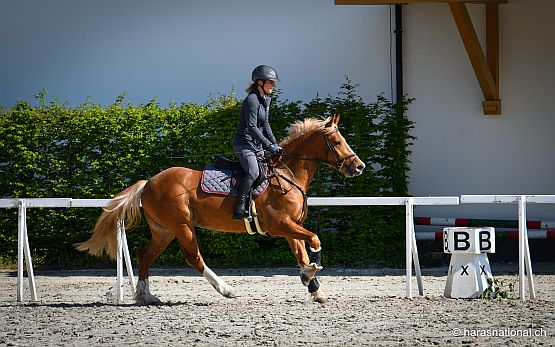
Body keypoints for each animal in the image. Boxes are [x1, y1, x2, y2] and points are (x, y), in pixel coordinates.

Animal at [76, 115, 368, 304]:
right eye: (337, 141)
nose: (359, 167)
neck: (288, 173)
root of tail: (149, 182)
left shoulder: (290, 228)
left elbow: (301, 254)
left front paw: (314, 286)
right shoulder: (281, 225)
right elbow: (315, 240)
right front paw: (311, 274)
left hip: (164, 230)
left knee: (145, 256)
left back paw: (146, 296)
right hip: (182, 227)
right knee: (194, 258)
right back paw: (226, 290)